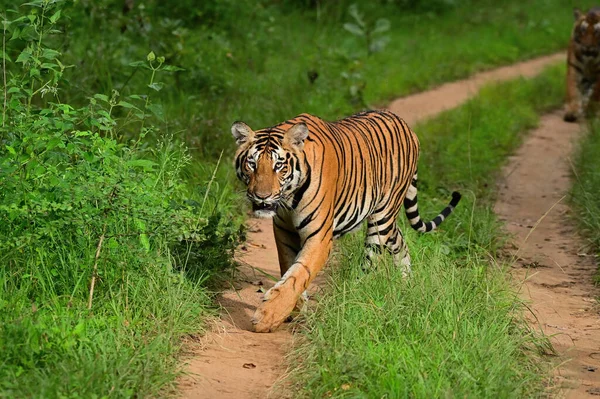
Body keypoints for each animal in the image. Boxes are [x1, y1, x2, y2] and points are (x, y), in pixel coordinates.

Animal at [232, 110, 462, 334]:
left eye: (279, 166)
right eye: (252, 164)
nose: (261, 196)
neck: (289, 198)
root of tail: (406, 126)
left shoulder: (319, 238)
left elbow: (299, 274)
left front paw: (267, 317)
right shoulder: (283, 231)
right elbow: (288, 267)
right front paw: (295, 310)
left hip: (382, 218)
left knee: (370, 262)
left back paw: (357, 298)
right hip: (388, 223)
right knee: (400, 241)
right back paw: (406, 282)